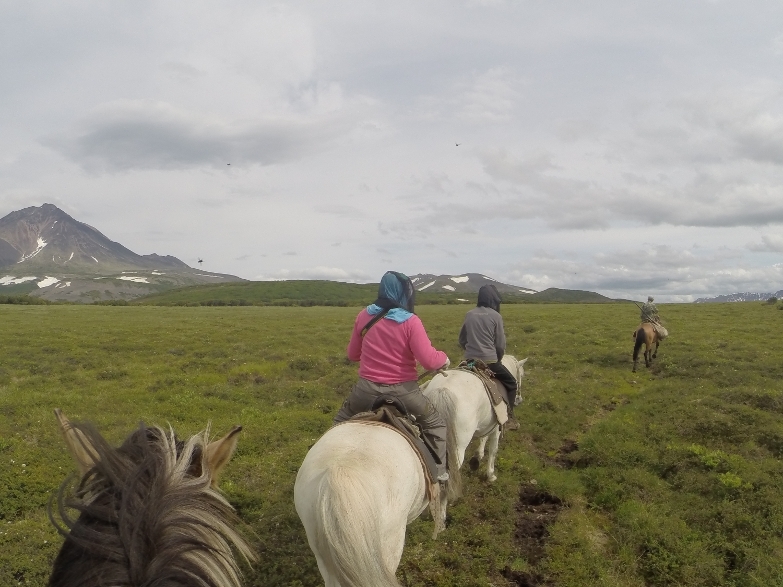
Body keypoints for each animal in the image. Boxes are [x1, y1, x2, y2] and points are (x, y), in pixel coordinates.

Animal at [422, 354, 528, 492]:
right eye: (521, 375)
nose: (519, 400)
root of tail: (442, 391)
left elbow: (483, 437)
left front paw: (477, 457)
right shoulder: (497, 429)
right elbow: (493, 450)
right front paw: (491, 475)